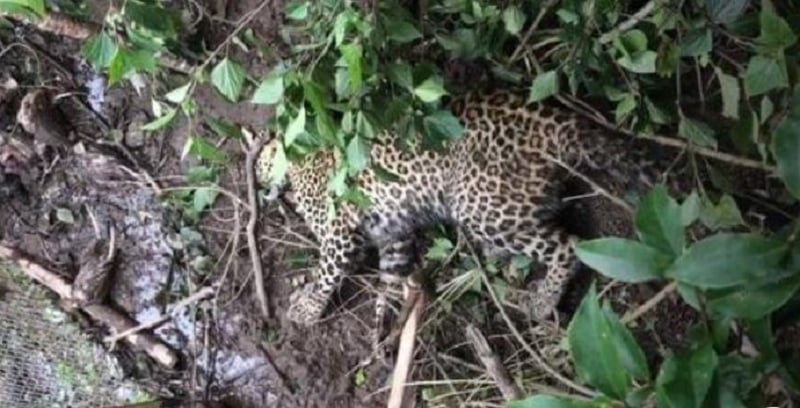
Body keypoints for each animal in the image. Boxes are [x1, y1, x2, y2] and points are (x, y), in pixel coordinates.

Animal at [256, 91, 668, 326]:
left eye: (259, 160)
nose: (261, 190)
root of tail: (559, 125)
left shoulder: (339, 233)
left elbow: (327, 270)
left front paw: (307, 308)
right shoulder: (393, 233)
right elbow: (391, 272)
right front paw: (385, 321)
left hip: (483, 207)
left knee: (569, 247)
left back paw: (540, 302)